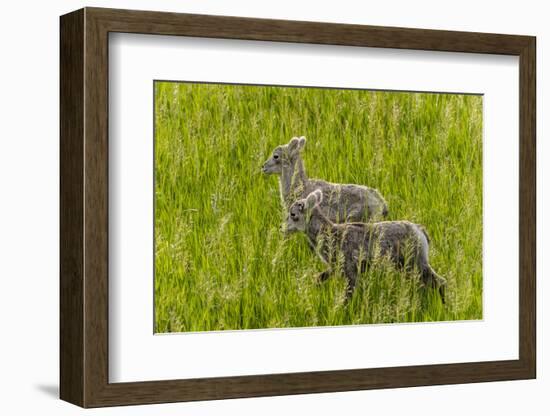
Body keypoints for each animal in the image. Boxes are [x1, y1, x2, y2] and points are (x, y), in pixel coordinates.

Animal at [286, 189, 446, 302]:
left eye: (293, 214)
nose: (284, 229)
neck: (332, 235)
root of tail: (420, 231)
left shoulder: (350, 272)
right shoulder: (335, 268)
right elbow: (319, 278)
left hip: (417, 263)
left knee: (440, 283)